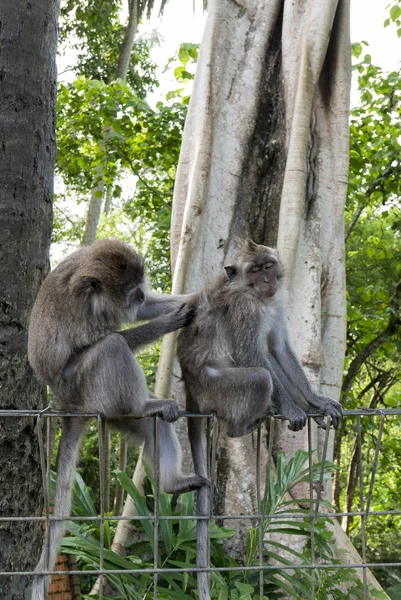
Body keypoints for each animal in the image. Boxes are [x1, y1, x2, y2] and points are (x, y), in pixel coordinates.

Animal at [27, 239, 206, 600]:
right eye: (130, 290)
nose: (137, 295)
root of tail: (67, 404)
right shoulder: (84, 312)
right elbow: (116, 336)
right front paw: (170, 321)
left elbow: (144, 312)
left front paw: (199, 296)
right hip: (87, 388)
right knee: (110, 346)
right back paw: (145, 404)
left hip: (109, 408)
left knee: (154, 427)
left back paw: (171, 481)